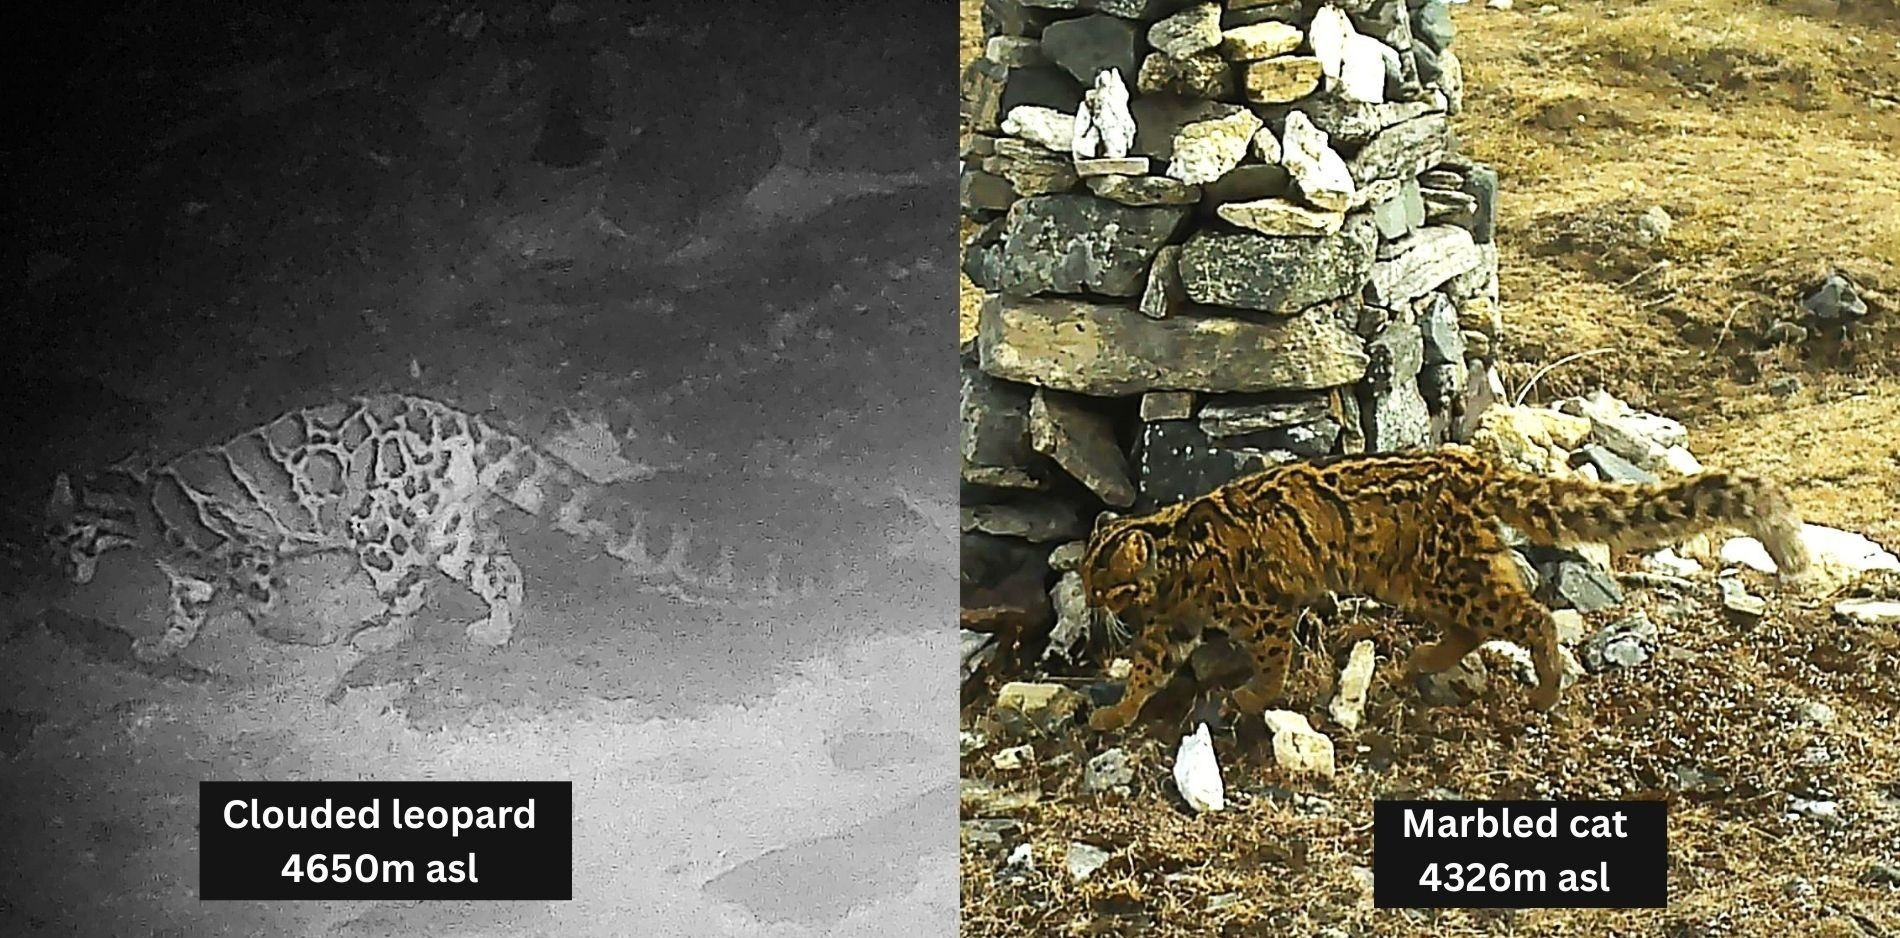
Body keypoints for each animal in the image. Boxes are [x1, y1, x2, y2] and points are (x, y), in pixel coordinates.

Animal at [43, 393, 885, 662]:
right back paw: (495, 630)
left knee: (411, 594)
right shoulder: (187, 579)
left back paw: (382, 633)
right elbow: (183, 615)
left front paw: (290, 634)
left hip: (379, 530)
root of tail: (453, 417)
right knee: (504, 571)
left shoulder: (240, 554)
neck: (132, 509)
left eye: (50, 534)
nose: (50, 563)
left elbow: (253, 604)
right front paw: (159, 646)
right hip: (448, 524)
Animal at [1078, 445, 1810, 731]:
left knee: (1532, 614)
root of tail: (1472, 463)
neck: (1173, 564)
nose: (1087, 603)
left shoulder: (1262, 612)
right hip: (1430, 579)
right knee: (1477, 625)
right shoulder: (1171, 626)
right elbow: (1145, 670)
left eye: (1103, 584)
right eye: (1085, 577)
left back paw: (1544, 690)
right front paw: (1117, 714)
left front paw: (1253, 697)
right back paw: (1418, 663)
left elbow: (1272, 661)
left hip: (1448, 575)